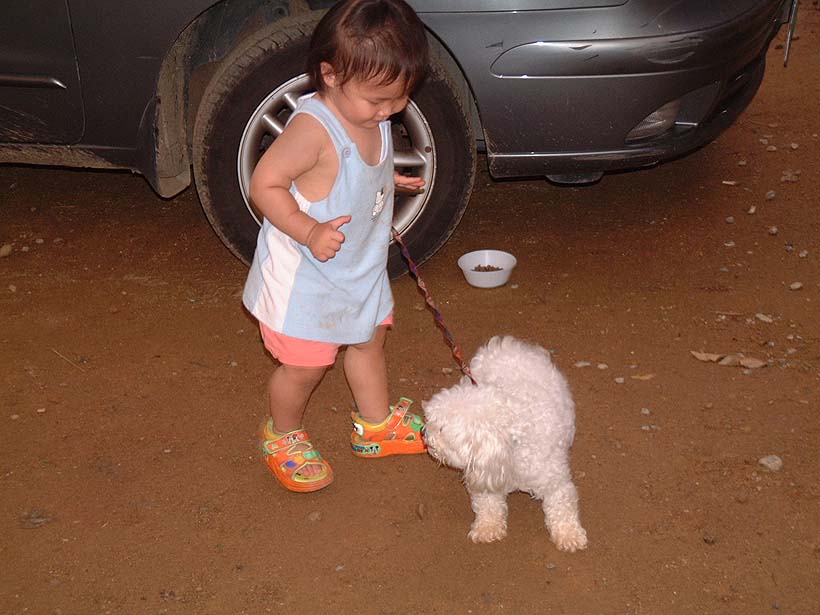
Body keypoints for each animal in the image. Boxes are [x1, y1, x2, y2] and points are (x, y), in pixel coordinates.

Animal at [423, 336, 588, 552]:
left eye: (441, 429)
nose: (423, 433)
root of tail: (506, 345)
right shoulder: (485, 475)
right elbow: (488, 505)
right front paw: (487, 527)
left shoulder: (554, 481)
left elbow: (561, 507)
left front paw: (570, 535)